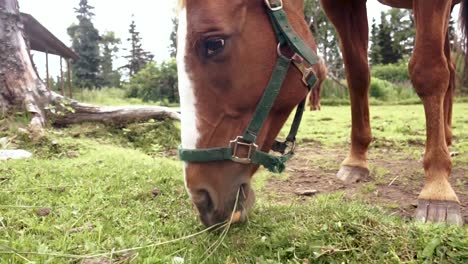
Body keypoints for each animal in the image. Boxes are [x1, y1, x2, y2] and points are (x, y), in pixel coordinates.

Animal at [178, 0, 464, 227]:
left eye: (214, 43)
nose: (201, 198)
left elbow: (428, 71)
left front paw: (438, 187)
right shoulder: (342, 4)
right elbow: (357, 74)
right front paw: (356, 161)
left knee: (445, 70)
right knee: (450, 69)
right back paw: (447, 136)